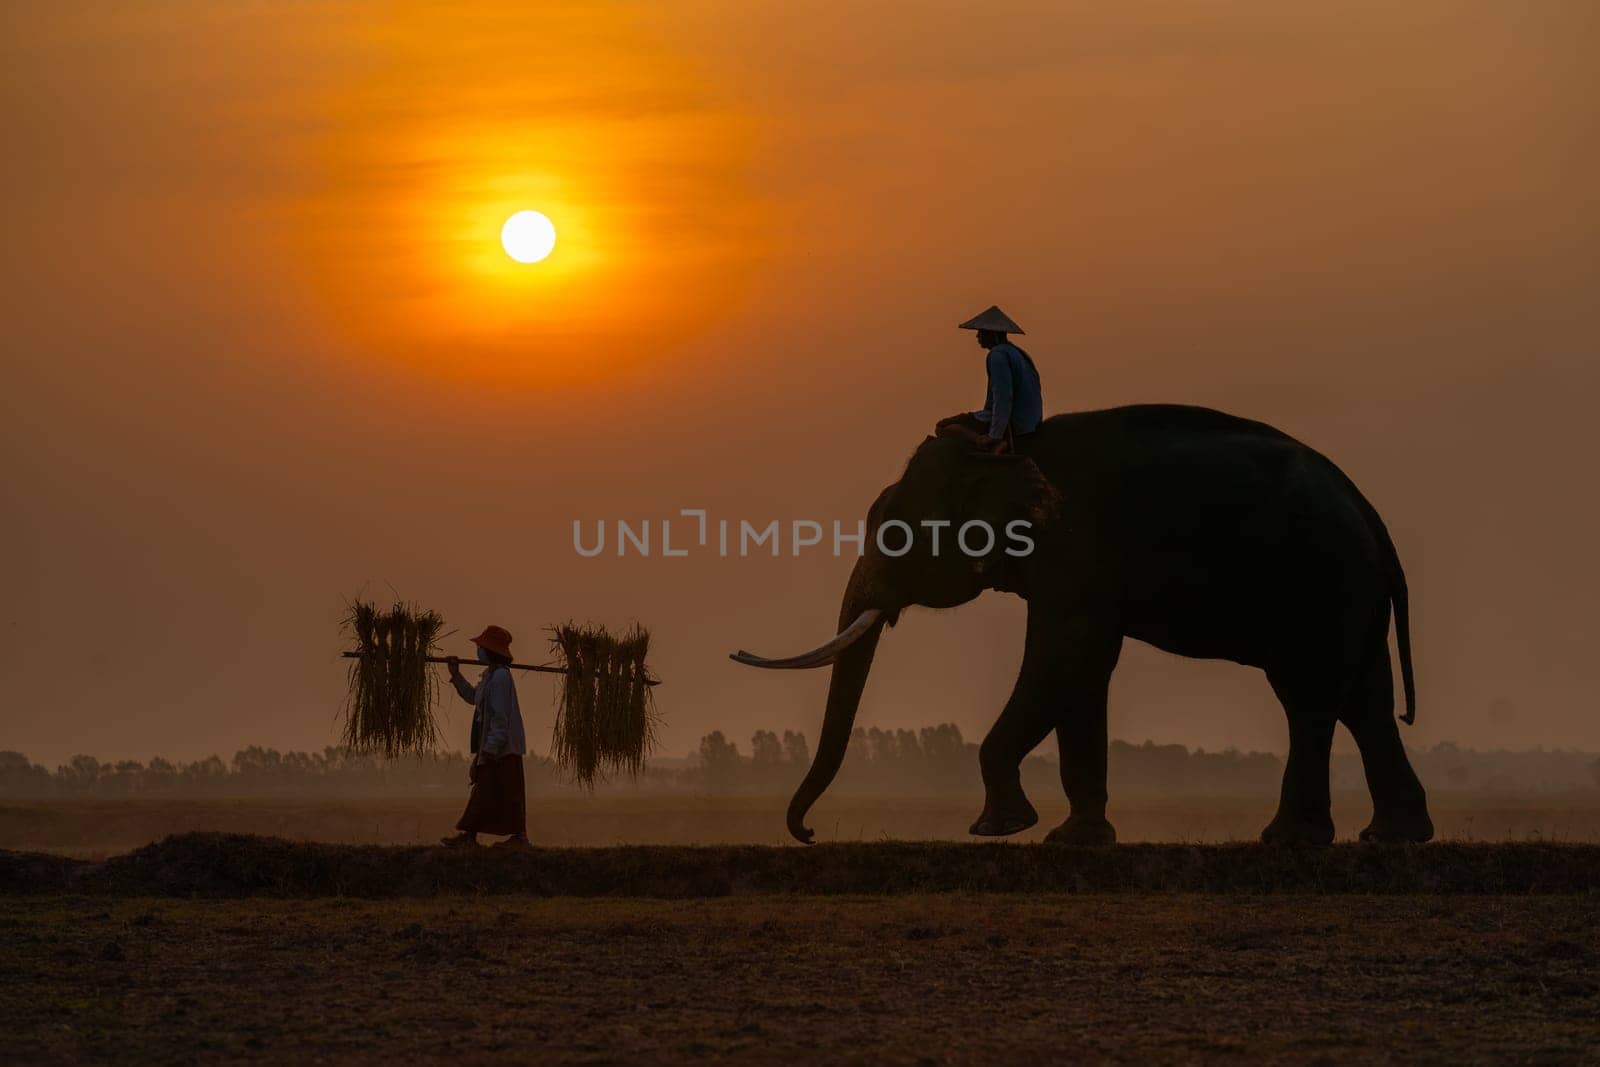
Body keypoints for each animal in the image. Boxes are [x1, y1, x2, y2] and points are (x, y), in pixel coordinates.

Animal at [732, 404, 1433, 844]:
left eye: (894, 533)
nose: (809, 833)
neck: (1004, 449)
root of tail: (1371, 513)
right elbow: (1082, 674)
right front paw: (1074, 840)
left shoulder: (1077, 551)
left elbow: (1065, 657)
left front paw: (999, 829)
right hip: (1349, 591)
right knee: (1365, 701)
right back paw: (1390, 838)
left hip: (1321, 580)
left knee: (1308, 697)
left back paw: (1289, 840)